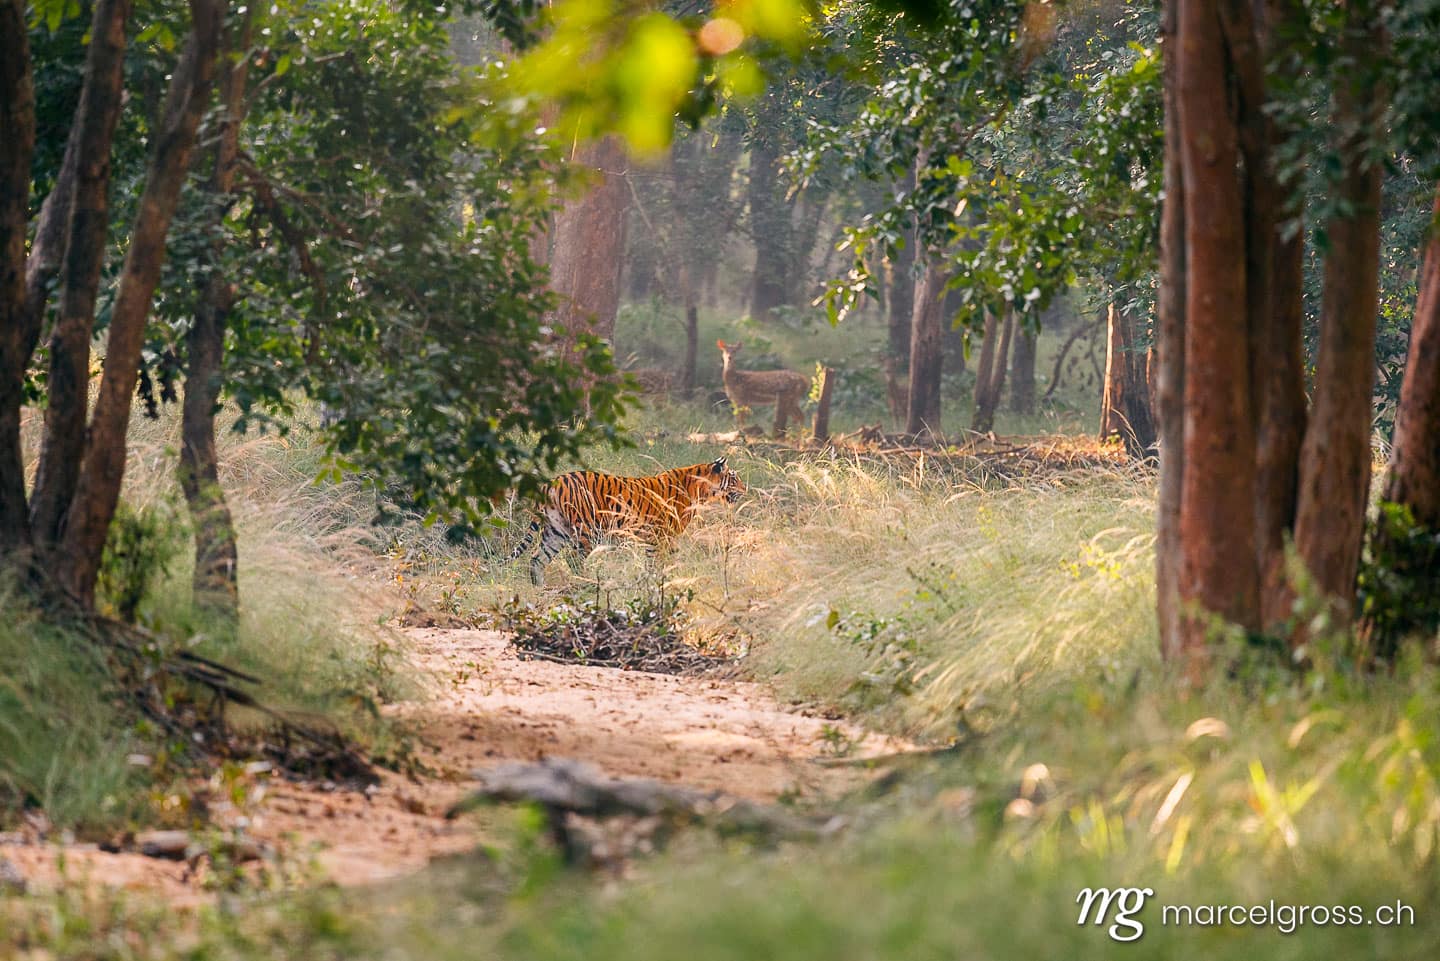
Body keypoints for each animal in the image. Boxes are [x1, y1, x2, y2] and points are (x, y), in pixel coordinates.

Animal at [510, 458, 746, 585]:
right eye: (734, 478)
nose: (746, 489)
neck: (699, 489)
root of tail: (551, 483)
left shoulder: (653, 539)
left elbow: (652, 564)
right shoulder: (663, 537)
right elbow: (661, 564)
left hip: (556, 531)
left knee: (537, 559)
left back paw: (539, 588)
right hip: (585, 531)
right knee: (573, 560)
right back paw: (587, 585)